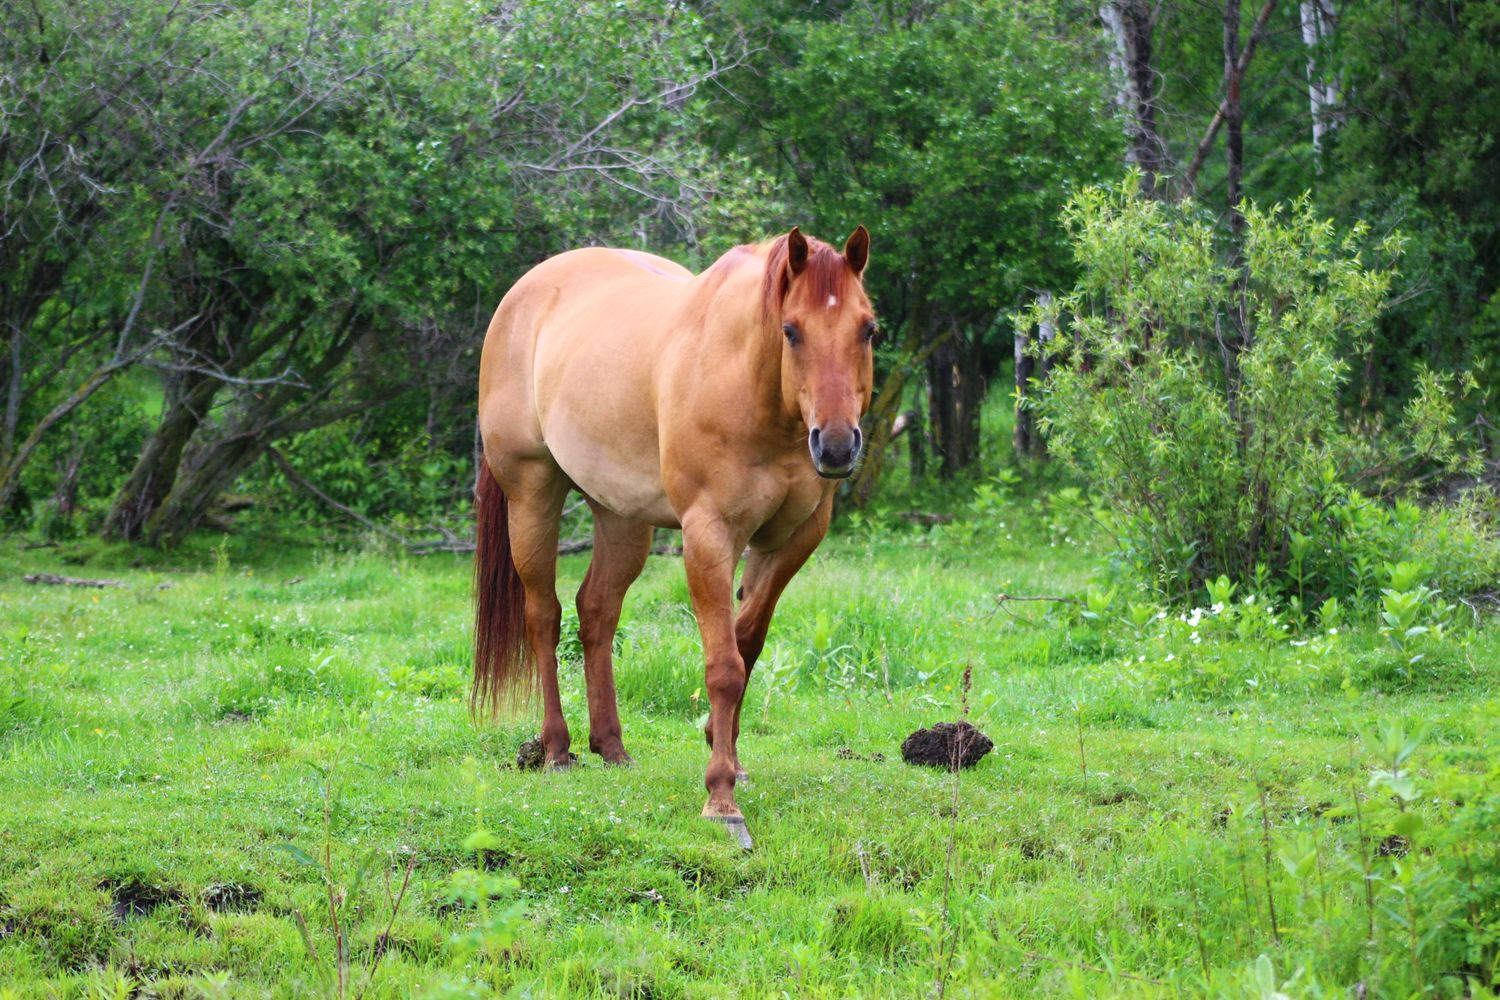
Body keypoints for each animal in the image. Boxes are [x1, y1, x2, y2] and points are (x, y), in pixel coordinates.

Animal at [474, 226, 875, 847]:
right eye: (791, 330)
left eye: (867, 328)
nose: (835, 446)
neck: (751, 388)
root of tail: (523, 293)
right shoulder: (708, 536)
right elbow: (724, 666)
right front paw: (721, 799)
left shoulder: (790, 541)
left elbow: (746, 645)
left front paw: (727, 753)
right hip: (532, 495)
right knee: (544, 615)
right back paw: (558, 750)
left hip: (621, 517)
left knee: (597, 612)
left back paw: (611, 747)